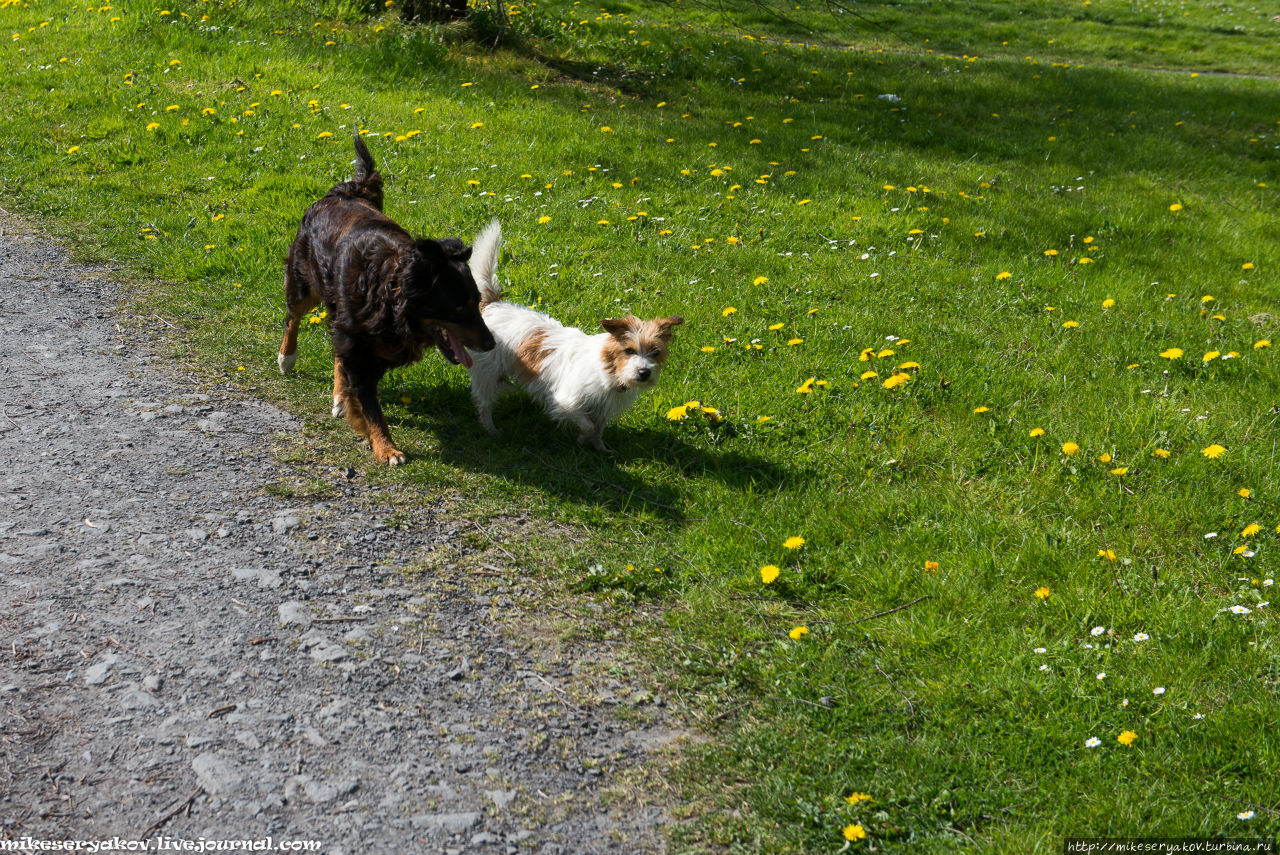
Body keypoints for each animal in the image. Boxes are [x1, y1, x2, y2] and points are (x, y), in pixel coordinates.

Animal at [277, 132, 491, 463]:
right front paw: (385, 446)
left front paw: (351, 405)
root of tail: (346, 190)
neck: (390, 293)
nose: (491, 344)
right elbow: (370, 406)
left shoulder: (366, 342)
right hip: (304, 283)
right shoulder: (357, 341)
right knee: (293, 316)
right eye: (457, 309)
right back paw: (287, 357)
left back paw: (338, 393)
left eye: (476, 303)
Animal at [468, 220, 686, 450]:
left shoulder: (604, 409)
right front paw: (582, 440)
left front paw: (600, 449)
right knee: (484, 404)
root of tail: (495, 304)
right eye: (629, 351)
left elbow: (598, 429)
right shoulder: (567, 402)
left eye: (655, 352)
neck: (609, 370)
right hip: (487, 372)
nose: (644, 372)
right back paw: (491, 429)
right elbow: (588, 425)